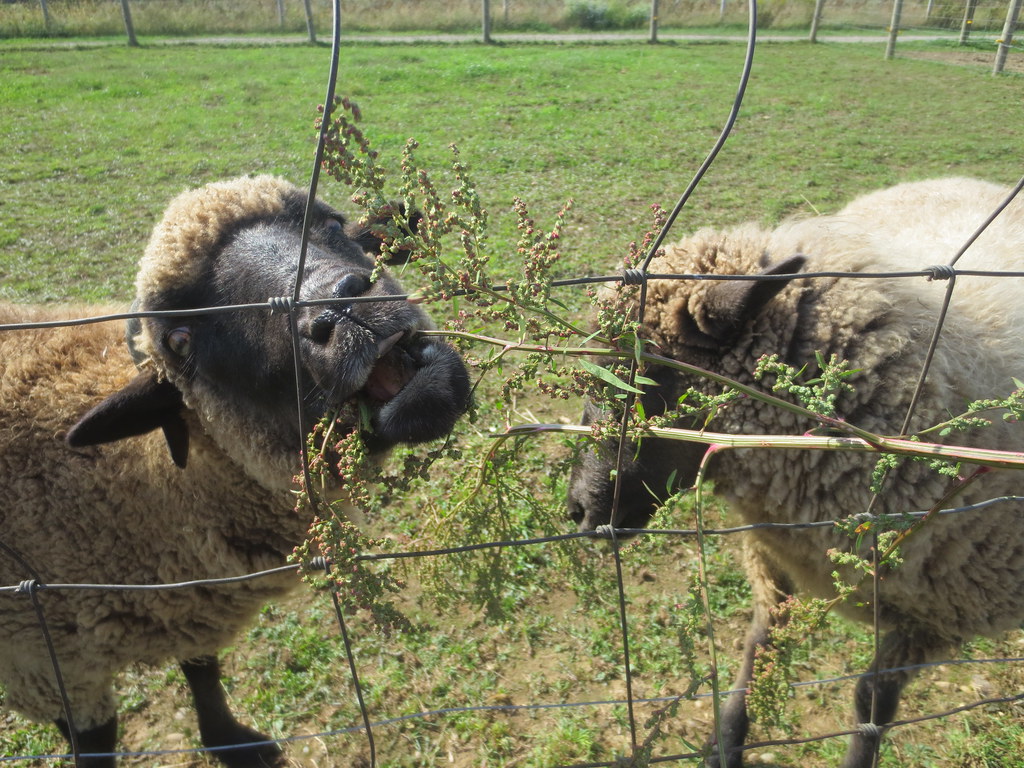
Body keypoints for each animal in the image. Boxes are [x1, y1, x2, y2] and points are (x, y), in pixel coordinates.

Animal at [0, 175, 471, 768]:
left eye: (333, 223)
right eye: (180, 341)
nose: (340, 310)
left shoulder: (189, 595)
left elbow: (202, 671)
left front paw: (232, 741)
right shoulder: (43, 661)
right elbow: (96, 742)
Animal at [567, 177, 1024, 768]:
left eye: (647, 381)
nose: (578, 509)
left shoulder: (938, 619)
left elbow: (871, 702)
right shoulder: (772, 555)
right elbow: (756, 656)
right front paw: (723, 746)